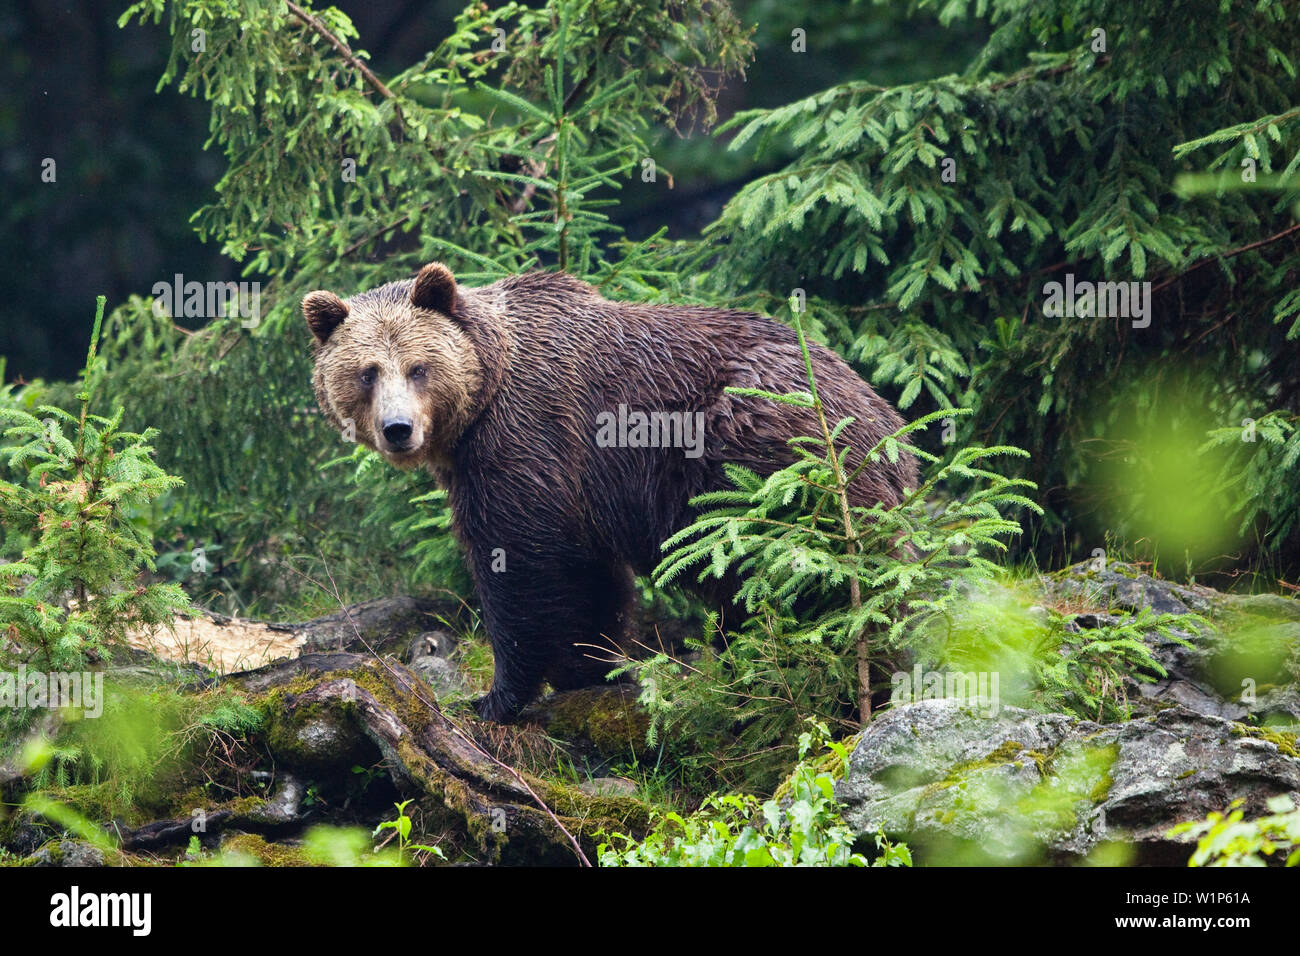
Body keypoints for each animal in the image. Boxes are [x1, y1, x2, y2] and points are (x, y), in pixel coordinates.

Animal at [303, 262, 917, 722]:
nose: (398, 429)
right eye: (366, 372)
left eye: (418, 367)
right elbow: (587, 578)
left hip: (755, 462)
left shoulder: (526, 444)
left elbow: (523, 569)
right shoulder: (572, 485)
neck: (483, 397)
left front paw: (495, 697)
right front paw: (588, 669)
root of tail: (882, 422)